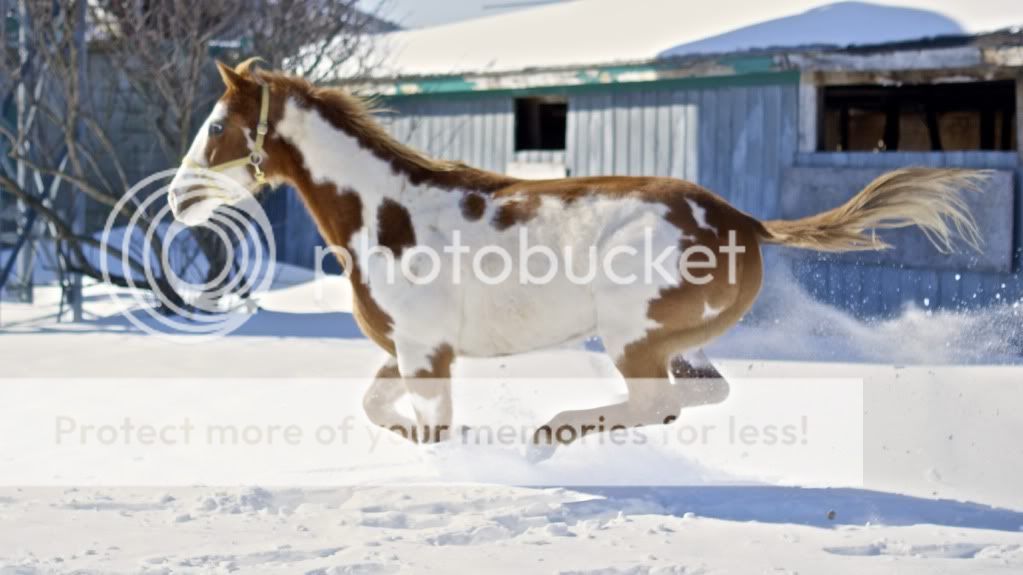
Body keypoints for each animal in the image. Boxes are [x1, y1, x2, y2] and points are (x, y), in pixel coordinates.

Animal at [167, 61, 982, 452]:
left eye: (216, 126)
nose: (176, 199)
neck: (386, 213)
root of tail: (744, 221)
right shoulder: (406, 350)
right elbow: (377, 407)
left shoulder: (426, 353)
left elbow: (432, 424)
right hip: (676, 341)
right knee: (695, 396)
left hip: (632, 333)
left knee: (652, 400)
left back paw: (550, 432)